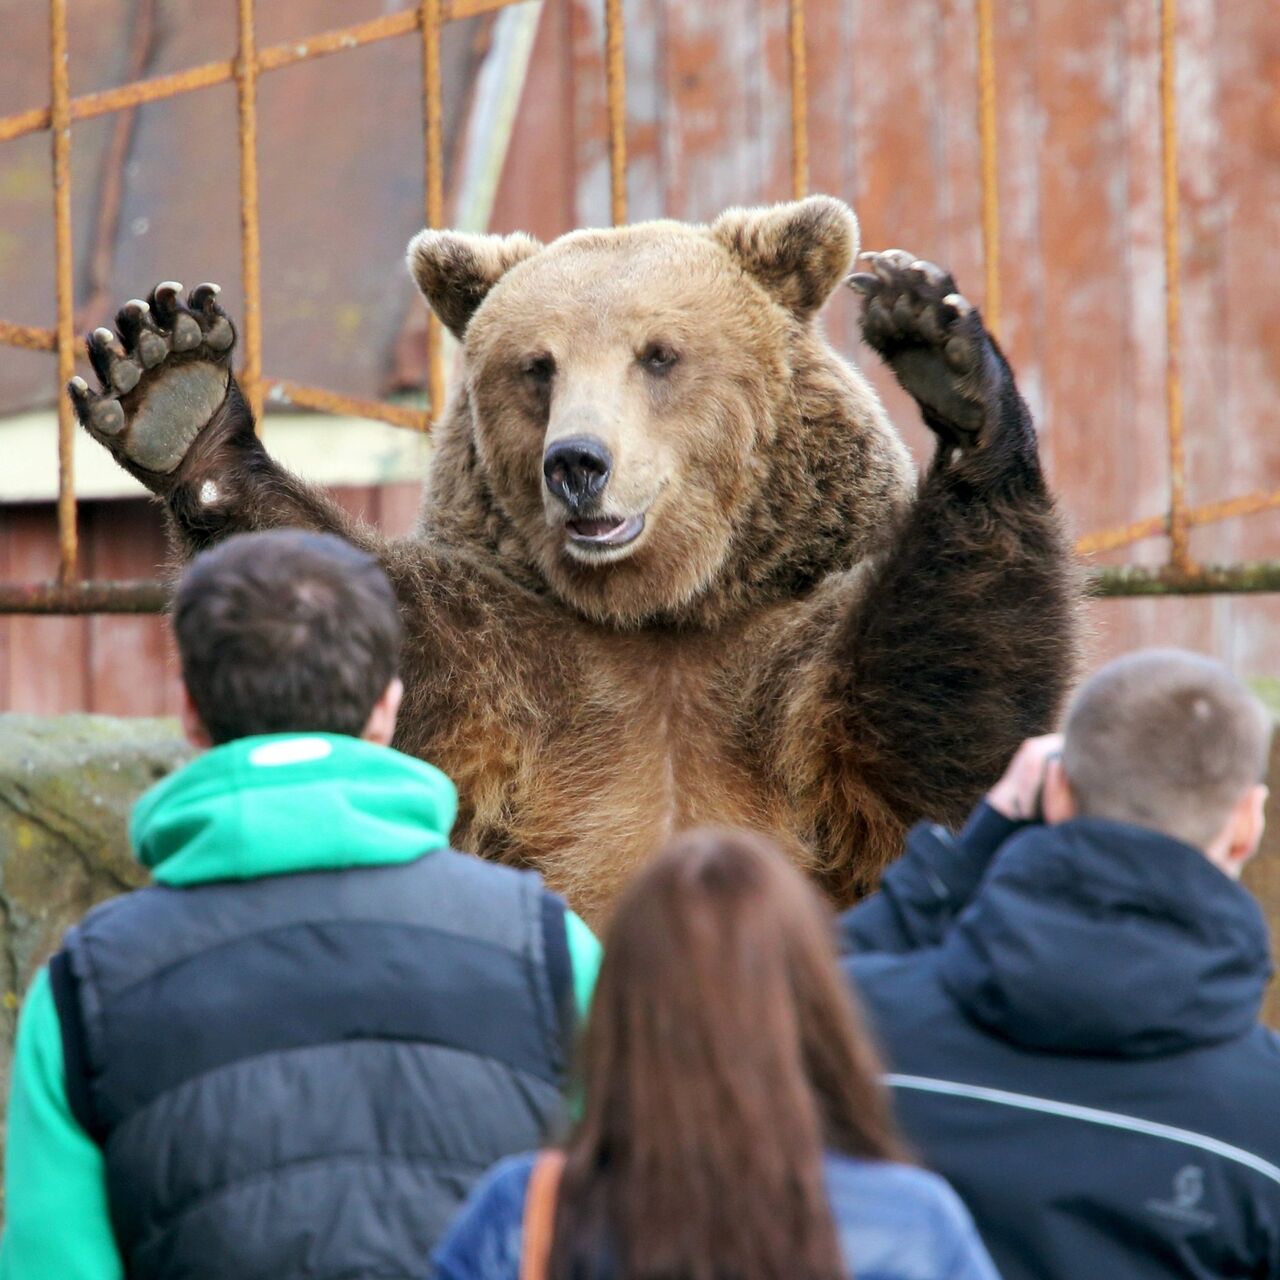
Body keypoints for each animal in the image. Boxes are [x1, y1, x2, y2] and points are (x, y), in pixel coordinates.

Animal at [67, 194, 1070, 926]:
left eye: (658, 354)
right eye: (537, 365)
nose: (577, 462)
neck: (661, 612)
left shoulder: (785, 650)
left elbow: (937, 706)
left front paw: (946, 360)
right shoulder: (509, 660)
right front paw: (169, 382)